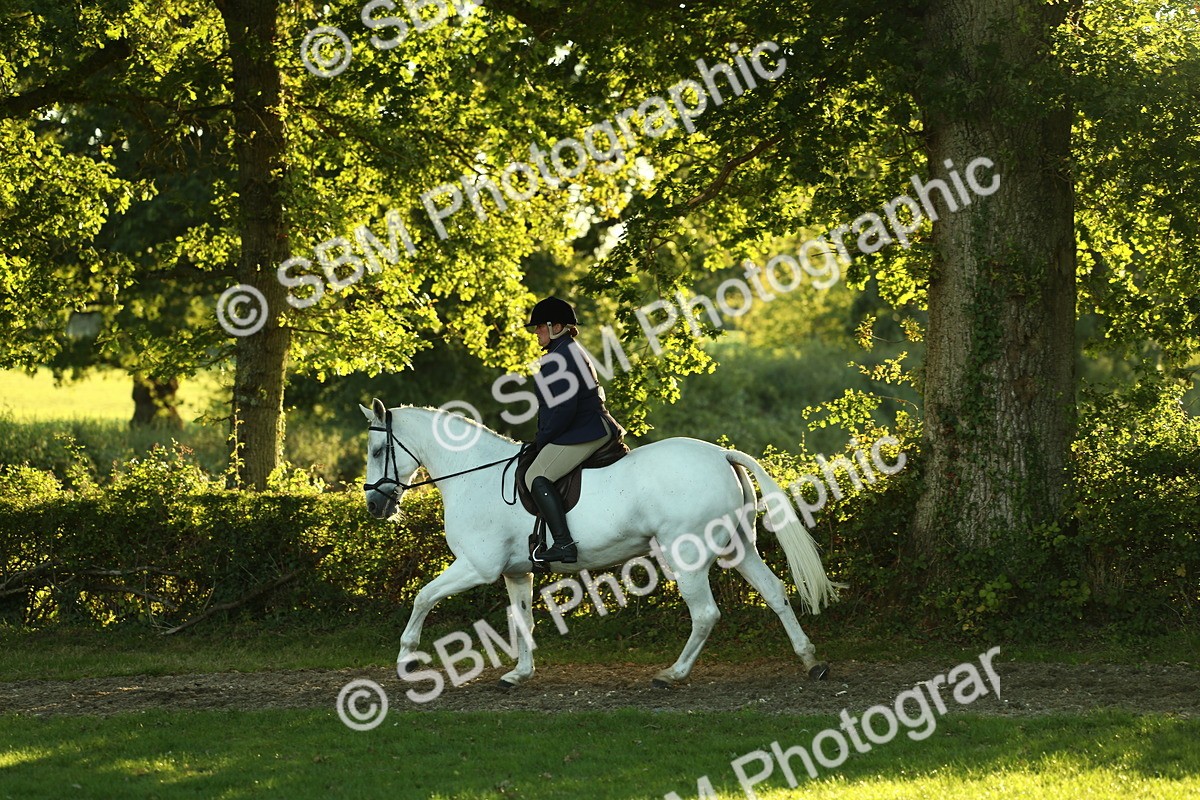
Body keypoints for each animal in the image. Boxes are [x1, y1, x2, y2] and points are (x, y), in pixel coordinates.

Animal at [359, 398, 840, 689]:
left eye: (378, 450)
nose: (374, 505)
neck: (474, 473)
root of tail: (721, 454)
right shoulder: (515, 571)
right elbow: (522, 620)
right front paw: (520, 673)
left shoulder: (477, 566)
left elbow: (422, 596)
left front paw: (407, 658)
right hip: (738, 547)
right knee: (775, 592)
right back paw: (810, 661)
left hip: (686, 555)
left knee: (705, 614)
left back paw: (672, 674)